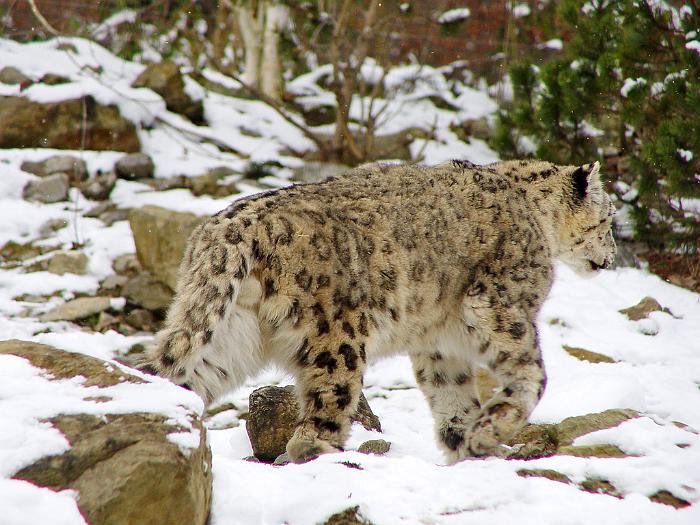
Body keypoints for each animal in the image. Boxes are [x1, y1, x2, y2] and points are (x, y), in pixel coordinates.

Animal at [145, 160, 616, 462]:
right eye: (610, 219)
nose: (612, 257)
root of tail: (228, 227)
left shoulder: (440, 344)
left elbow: (452, 395)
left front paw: (465, 444)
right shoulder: (501, 305)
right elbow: (532, 374)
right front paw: (492, 431)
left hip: (232, 334)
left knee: (187, 373)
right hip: (336, 337)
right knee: (321, 413)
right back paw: (324, 455)